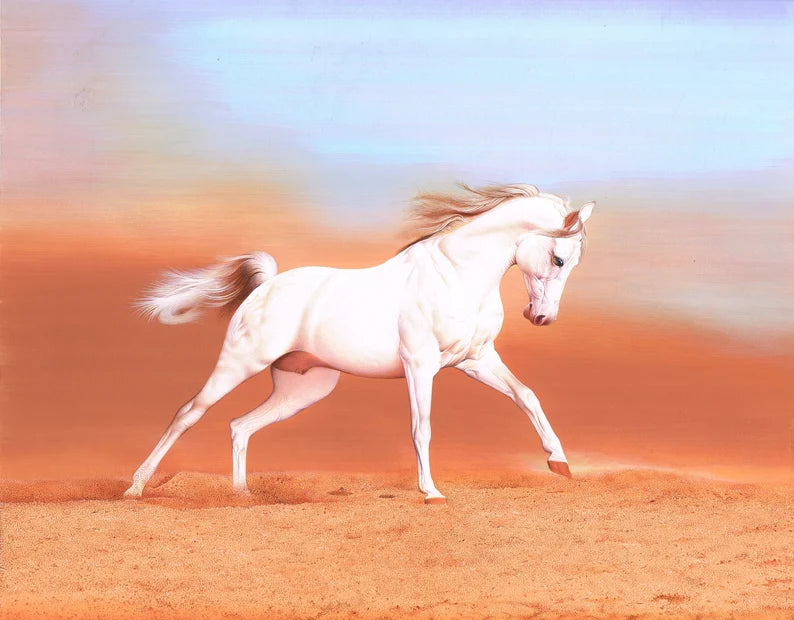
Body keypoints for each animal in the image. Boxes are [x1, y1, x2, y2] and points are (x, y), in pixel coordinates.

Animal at [123, 183, 594, 503]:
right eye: (559, 259)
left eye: (572, 264)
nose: (541, 318)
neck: (456, 275)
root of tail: (268, 285)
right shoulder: (420, 365)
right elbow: (422, 428)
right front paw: (431, 492)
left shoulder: (475, 360)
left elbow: (527, 396)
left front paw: (560, 463)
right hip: (239, 363)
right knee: (188, 413)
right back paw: (136, 487)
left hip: (303, 389)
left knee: (240, 426)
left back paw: (243, 495)